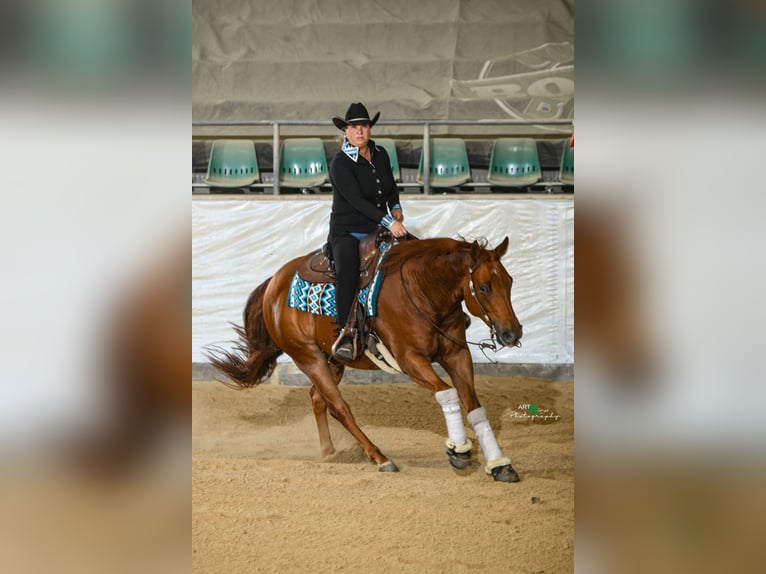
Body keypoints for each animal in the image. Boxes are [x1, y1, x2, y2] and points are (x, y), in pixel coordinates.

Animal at [207, 236, 524, 484]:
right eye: (484, 287)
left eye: (509, 282)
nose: (512, 332)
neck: (422, 289)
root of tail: (274, 283)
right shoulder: (410, 359)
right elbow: (447, 394)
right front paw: (459, 450)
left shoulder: (457, 355)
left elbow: (475, 406)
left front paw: (499, 464)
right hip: (308, 356)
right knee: (339, 407)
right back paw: (380, 458)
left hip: (332, 360)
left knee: (318, 399)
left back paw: (329, 452)